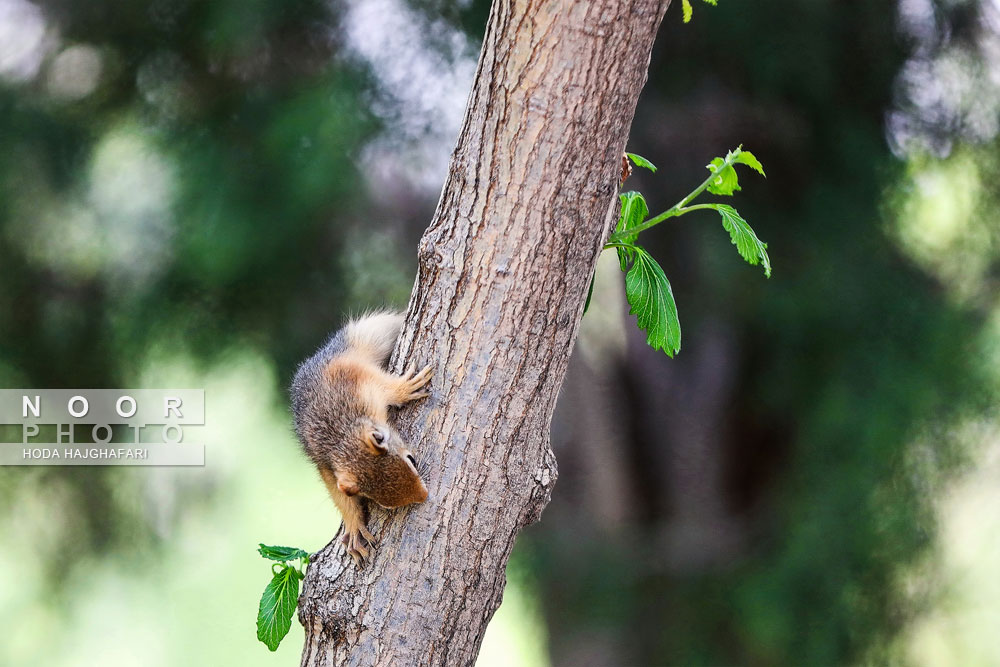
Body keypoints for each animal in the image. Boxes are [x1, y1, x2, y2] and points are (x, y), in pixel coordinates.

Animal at [290, 314, 430, 564]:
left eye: (412, 460)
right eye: (385, 504)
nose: (424, 496)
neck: (342, 434)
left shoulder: (354, 377)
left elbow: (385, 386)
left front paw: (404, 388)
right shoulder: (325, 464)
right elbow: (339, 494)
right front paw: (355, 526)